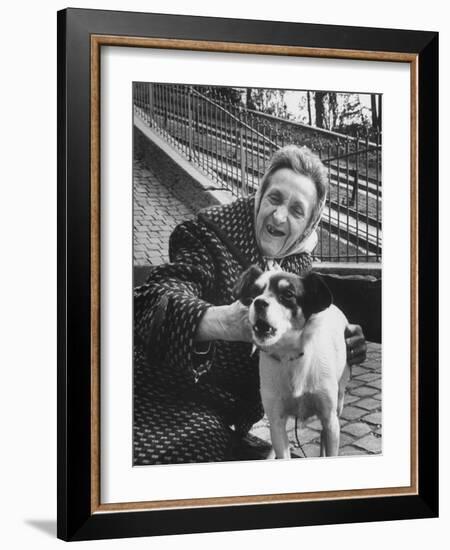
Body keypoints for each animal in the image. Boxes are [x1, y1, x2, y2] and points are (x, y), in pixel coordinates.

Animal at [234, 266, 350, 460]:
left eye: (288, 294)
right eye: (254, 292)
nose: (258, 302)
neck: (288, 356)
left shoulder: (329, 419)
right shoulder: (277, 420)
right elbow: (281, 449)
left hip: (338, 402)